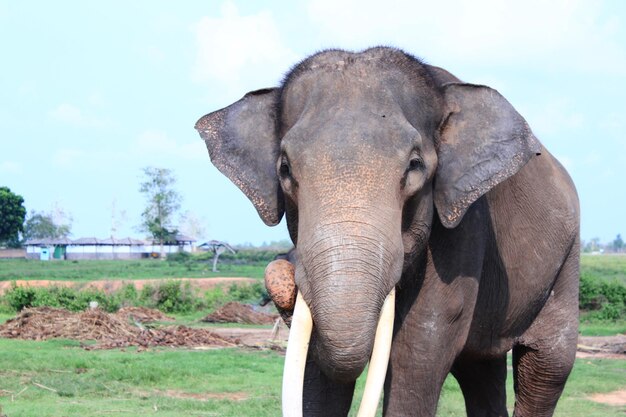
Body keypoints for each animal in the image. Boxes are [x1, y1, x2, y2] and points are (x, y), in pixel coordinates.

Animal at [194, 46, 576, 416]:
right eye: (285, 169)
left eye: (415, 165)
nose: (280, 269)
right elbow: (320, 370)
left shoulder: (464, 229)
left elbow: (420, 345)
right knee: (479, 370)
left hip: (566, 262)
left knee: (547, 367)